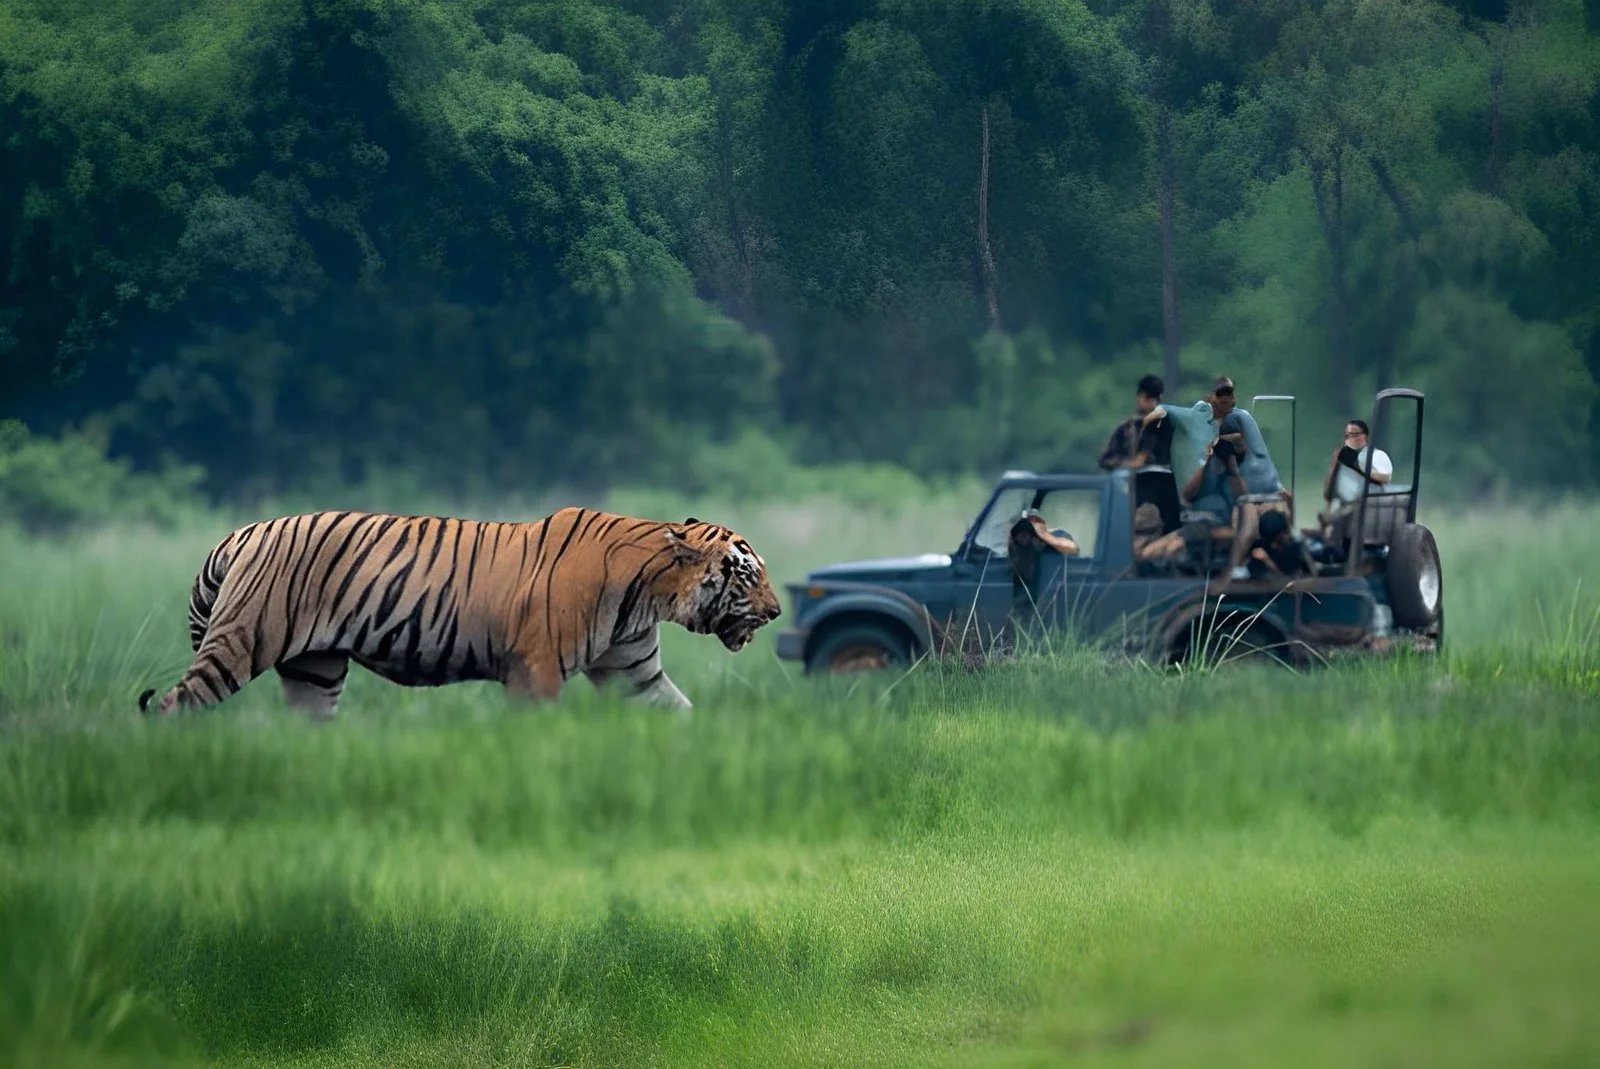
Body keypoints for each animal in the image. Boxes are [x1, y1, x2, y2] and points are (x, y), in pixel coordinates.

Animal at [136, 506, 781, 719]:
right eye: (747, 573)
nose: (777, 612)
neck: (649, 595)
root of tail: (239, 532)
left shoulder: (635, 673)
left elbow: (678, 711)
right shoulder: (536, 671)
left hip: (315, 670)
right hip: (242, 640)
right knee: (174, 705)